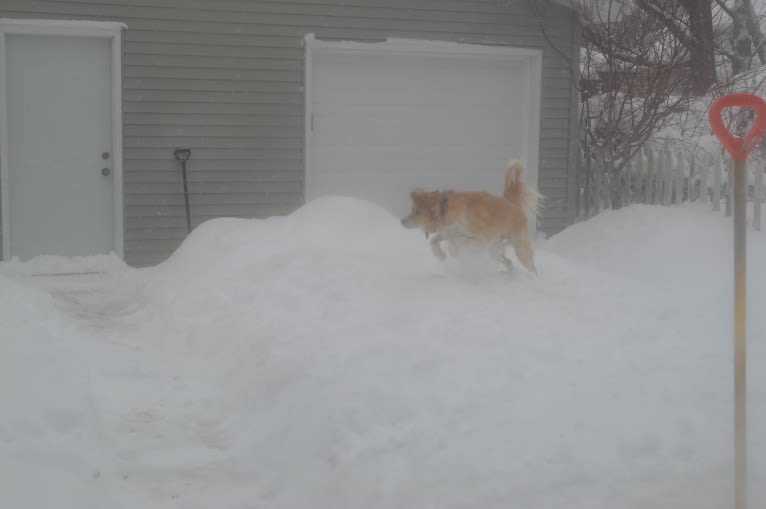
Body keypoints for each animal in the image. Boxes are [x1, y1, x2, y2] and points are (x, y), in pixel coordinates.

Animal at [402, 160, 540, 272]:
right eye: (412, 210)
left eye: (418, 212)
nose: (402, 221)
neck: (446, 210)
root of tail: (511, 203)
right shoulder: (448, 232)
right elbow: (434, 241)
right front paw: (440, 255)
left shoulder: (479, 239)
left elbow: (459, 243)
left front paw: (452, 251)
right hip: (494, 250)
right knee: (509, 262)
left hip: (520, 249)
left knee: (531, 267)